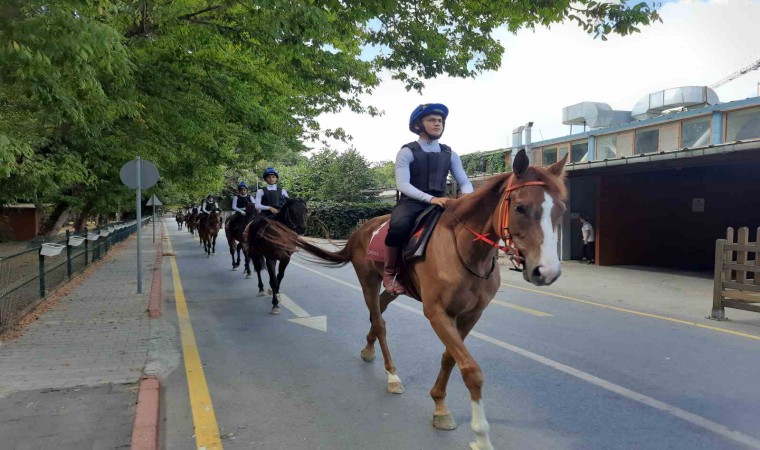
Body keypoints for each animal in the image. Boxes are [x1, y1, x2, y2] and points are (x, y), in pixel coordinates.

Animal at [262, 152, 564, 450]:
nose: (546, 271)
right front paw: (480, 434)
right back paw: (392, 375)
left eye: (560, 208)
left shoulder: (471, 315)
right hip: (368, 280)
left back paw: (368, 350)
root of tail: (361, 231)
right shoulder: (437, 312)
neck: (466, 251)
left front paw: (440, 406)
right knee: (380, 322)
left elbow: (450, 358)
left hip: (393, 289)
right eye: (520, 208)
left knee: (377, 313)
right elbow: (471, 369)